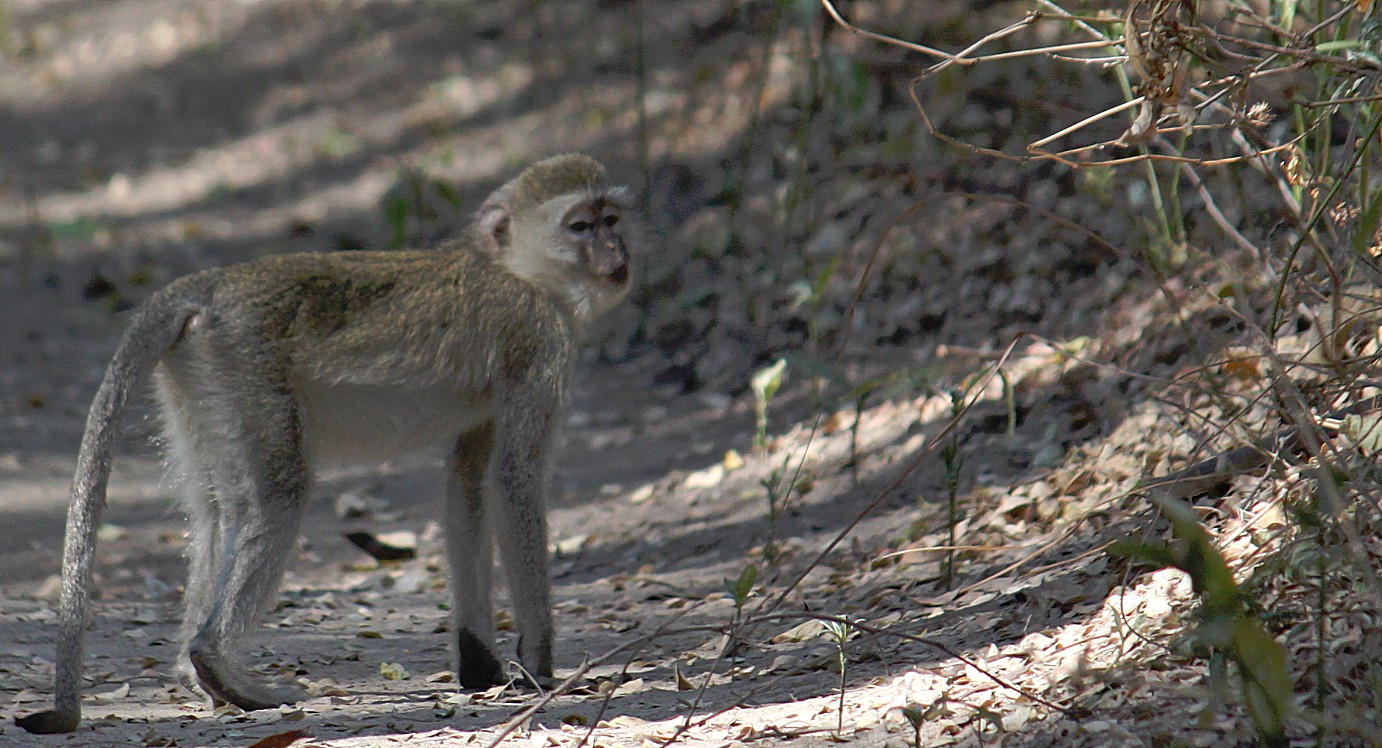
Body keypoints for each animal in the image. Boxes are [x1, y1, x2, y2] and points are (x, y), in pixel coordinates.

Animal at [17, 154, 632, 730]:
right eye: (581, 225)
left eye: (612, 219)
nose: (616, 250)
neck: (517, 271)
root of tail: (215, 286)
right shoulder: (541, 339)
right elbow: (513, 480)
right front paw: (541, 668)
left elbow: (469, 483)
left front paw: (481, 664)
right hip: (246, 366)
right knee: (279, 496)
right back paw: (216, 661)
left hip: (199, 374)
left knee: (220, 511)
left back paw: (197, 674)